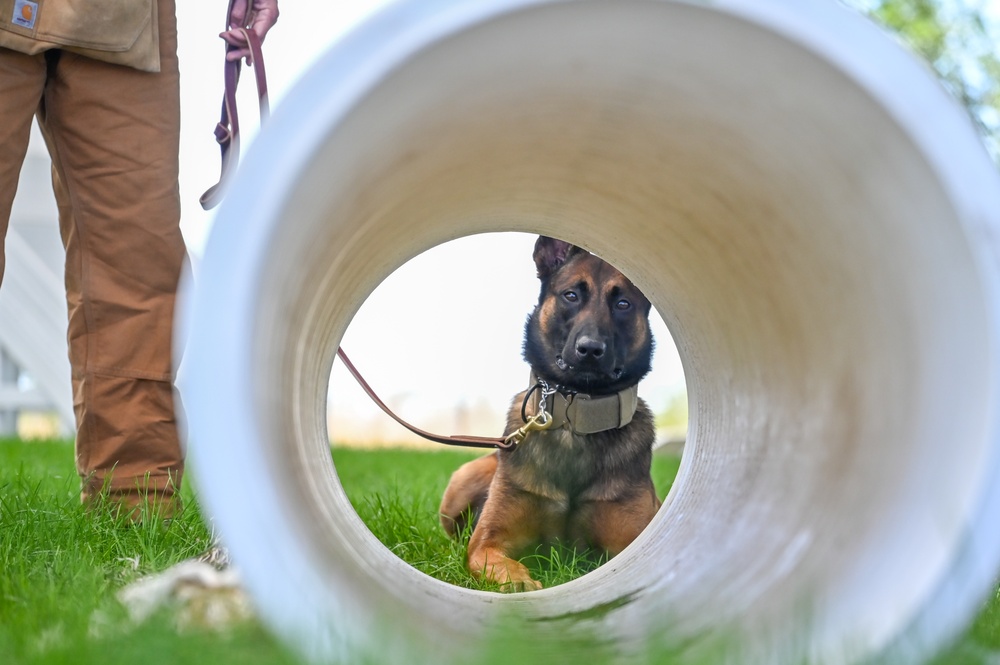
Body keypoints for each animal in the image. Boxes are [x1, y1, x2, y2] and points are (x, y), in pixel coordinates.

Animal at [440, 236, 660, 588]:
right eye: (571, 295)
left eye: (623, 304)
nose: (590, 350)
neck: (574, 418)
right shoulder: (488, 542)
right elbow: (497, 559)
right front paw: (519, 583)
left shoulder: (630, 541)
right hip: (464, 479)